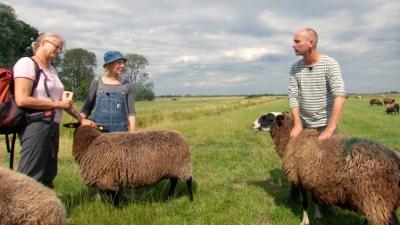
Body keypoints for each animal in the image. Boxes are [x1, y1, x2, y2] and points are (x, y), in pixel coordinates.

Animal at [253, 112, 400, 225]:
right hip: (384, 202)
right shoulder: (312, 178)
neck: (292, 139)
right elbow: (315, 199)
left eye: (268, 118)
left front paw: (305, 221)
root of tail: (394, 161)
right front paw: (318, 216)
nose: (252, 124)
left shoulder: (300, 178)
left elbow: (305, 202)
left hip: (374, 200)